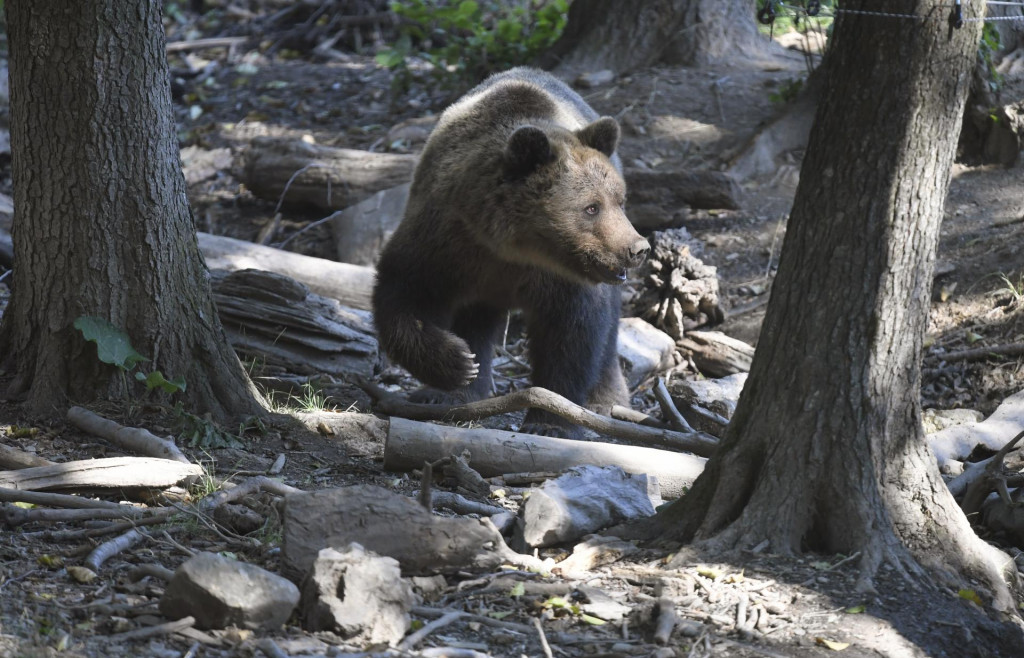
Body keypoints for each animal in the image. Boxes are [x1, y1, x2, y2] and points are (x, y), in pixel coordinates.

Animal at [374, 68, 647, 437]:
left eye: (619, 199)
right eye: (591, 207)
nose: (637, 248)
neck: (511, 246)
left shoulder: (562, 279)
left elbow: (572, 335)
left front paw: (550, 421)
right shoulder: (443, 242)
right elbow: (402, 294)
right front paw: (458, 364)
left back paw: (607, 398)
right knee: (475, 318)